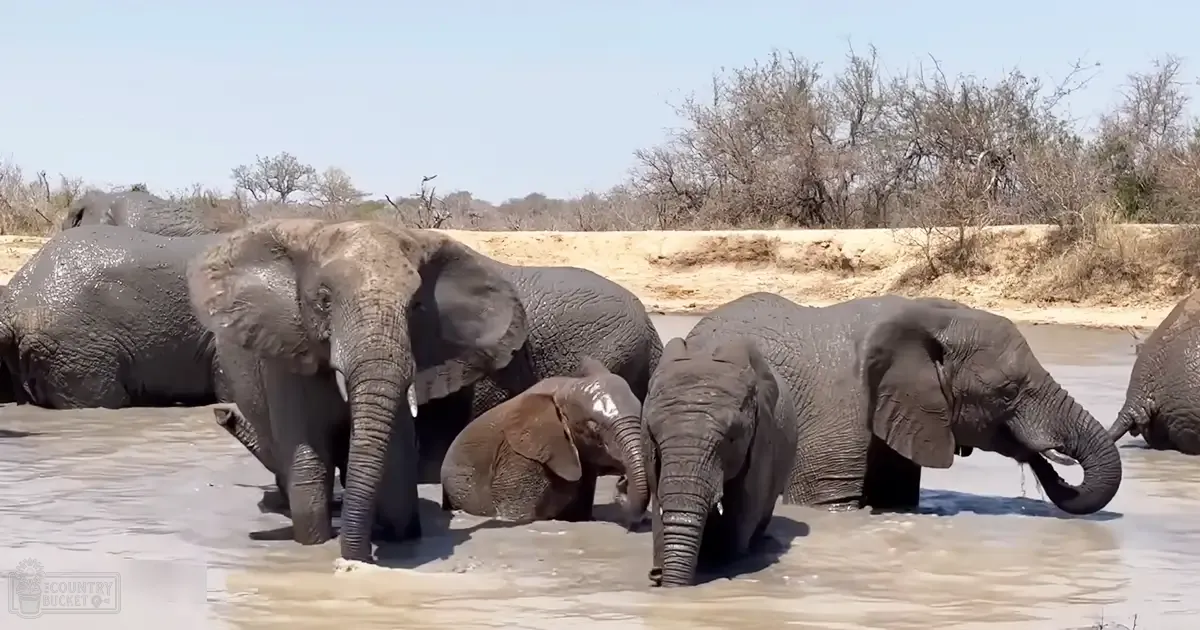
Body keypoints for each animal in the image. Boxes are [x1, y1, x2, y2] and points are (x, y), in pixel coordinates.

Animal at [643, 335, 798, 587]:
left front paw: (721, 565)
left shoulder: (762, 439)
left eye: (731, 439)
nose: (654, 575)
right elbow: (659, 502)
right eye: (654, 436)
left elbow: (742, 511)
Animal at [678, 292, 1121, 518]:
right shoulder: (841, 409)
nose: (1048, 455)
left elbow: (895, 496)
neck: (932, 319)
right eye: (1008, 392)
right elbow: (826, 503)